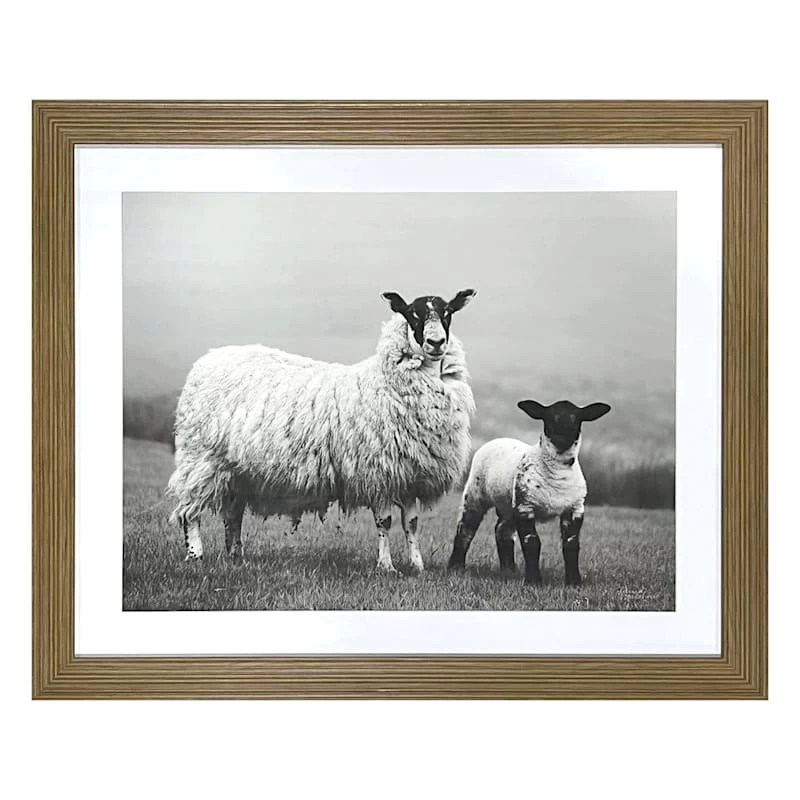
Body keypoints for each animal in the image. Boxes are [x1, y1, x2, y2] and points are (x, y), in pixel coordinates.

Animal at [166, 289, 477, 572]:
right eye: (413, 313)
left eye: (447, 312)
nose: (436, 342)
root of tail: (207, 360)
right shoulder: (378, 472)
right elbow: (384, 522)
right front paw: (386, 567)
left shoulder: (411, 473)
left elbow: (410, 523)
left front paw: (417, 566)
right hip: (201, 458)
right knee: (190, 510)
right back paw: (195, 555)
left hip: (237, 470)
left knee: (233, 514)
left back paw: (235, 555)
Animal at [447, 399, 611, 585]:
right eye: (550, 417)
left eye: (576, 418)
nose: (562, 437)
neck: (557, 473)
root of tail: (500, 438)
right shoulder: (525, 506)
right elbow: (531, 542)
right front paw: (533, 580)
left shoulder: (574, 509)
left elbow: (571, 544)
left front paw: (574, 581)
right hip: (476, 493)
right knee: (465, 529)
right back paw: (456, 567)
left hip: (508, 504)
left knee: (502, 530)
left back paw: (509, 569)